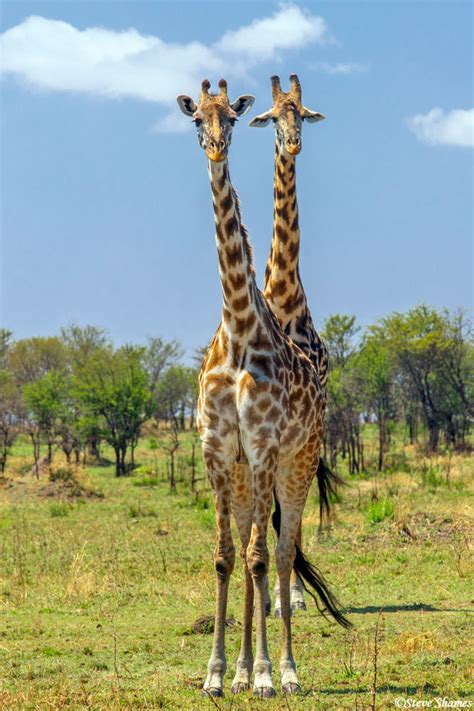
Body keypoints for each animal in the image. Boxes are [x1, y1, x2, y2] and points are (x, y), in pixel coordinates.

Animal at [177, 80, 348, 700]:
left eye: (230, 116)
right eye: (196, 120)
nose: (216, 146)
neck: (240, 327)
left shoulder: (265, 446)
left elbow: (259, 556)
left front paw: (267, 675)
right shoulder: (218, 450)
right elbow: (226, 557)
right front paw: (218, 673)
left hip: (298, 461)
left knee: (281, 548)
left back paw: (289, 669)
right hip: (252, 472)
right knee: (260, 549)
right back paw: (248, 666)